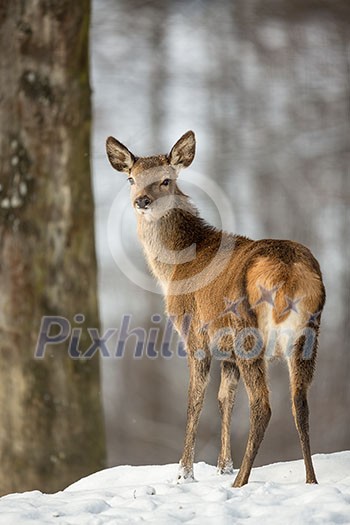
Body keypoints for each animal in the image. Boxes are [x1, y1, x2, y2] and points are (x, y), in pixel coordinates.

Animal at [104, 129, 326, 486]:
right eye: (131, 179)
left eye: (166, 180)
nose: (142, 201)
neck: (172, 270)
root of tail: (287, 271)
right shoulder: (227, 351)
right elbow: (225, 399)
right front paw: (223, 466)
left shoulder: (194, 332)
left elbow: (195, 400)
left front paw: (185, 472)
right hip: (308, 332)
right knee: (300, 402)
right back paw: (310, 480)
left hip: (248, 330)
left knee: (263, 405)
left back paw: (241, 482)